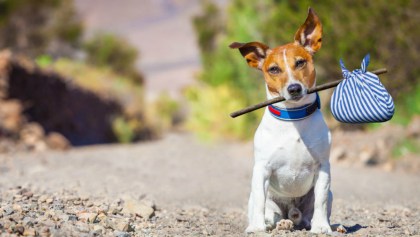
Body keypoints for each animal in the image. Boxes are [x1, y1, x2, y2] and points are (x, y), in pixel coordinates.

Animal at [228, 8, 334, 234]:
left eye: (300, 62)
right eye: (274, 69)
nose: (294, 89)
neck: (293, 118)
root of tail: (291, 211)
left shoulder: (323, 167)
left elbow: (320, 200)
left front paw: (321, 227)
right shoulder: (261, 169)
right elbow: (260, 201)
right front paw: (257, 227)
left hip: (322, 197)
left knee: (308, 214)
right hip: (261, 199)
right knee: (270, 212)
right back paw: (277, 223)